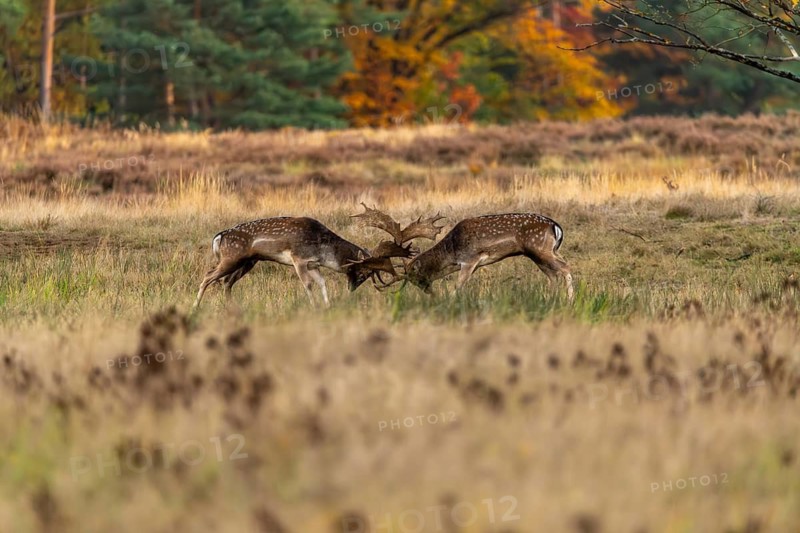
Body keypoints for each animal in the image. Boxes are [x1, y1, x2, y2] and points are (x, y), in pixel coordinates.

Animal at [352, 209, 574, 300]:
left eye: (415, 276)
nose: (430, 293)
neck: (451, 251)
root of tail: (556, 226)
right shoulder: (472, 264)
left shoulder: (469, 259)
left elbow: (458, 286)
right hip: (540, 254)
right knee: (553, 275)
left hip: (540, 249)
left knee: (565, 268)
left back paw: (570, 301)